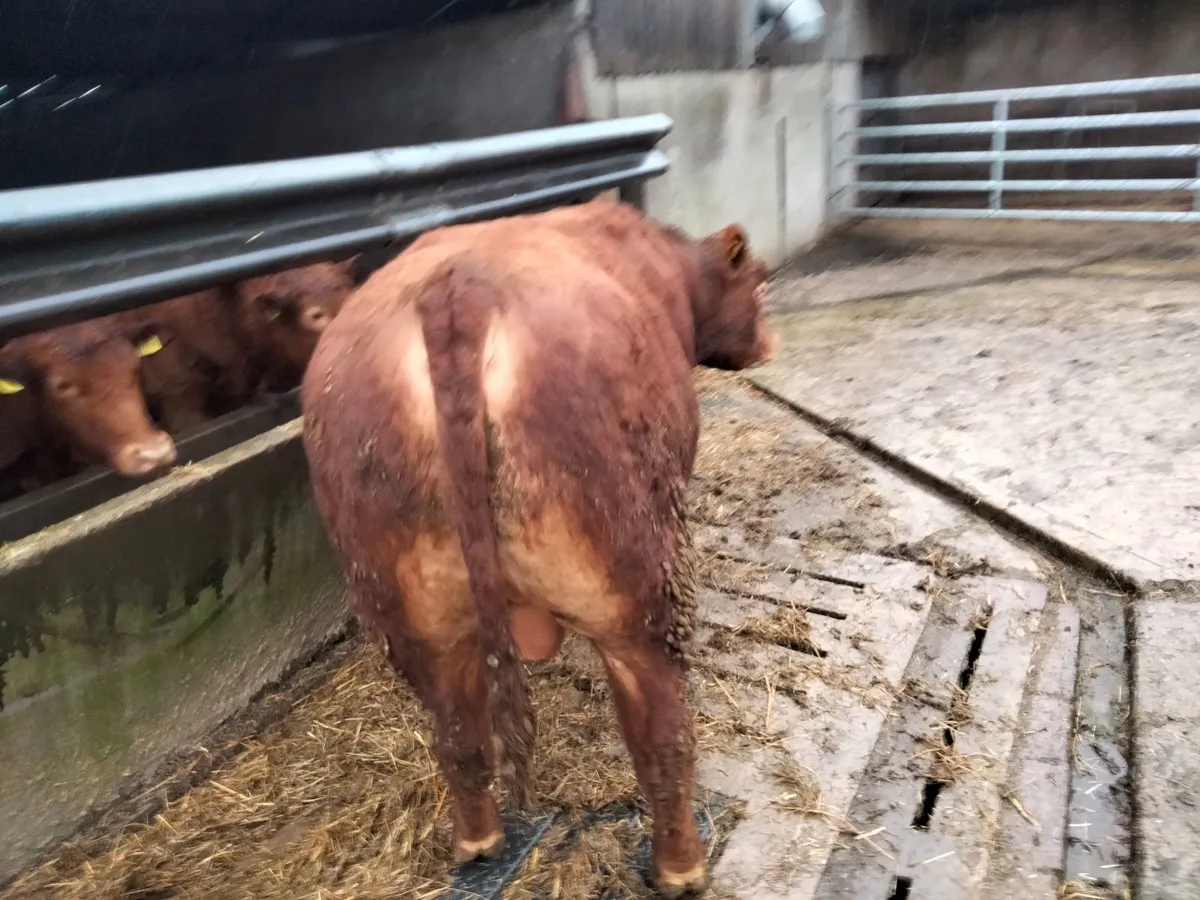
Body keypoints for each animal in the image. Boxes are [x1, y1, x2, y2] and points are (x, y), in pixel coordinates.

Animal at [300, 199, 775, 897]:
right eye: (761, 284)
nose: (770, 343)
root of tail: (457, 292)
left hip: (407, 604)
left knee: (459, 735)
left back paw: (480, 841)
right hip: (635, 584)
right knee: (662, 738)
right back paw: (681, 867)